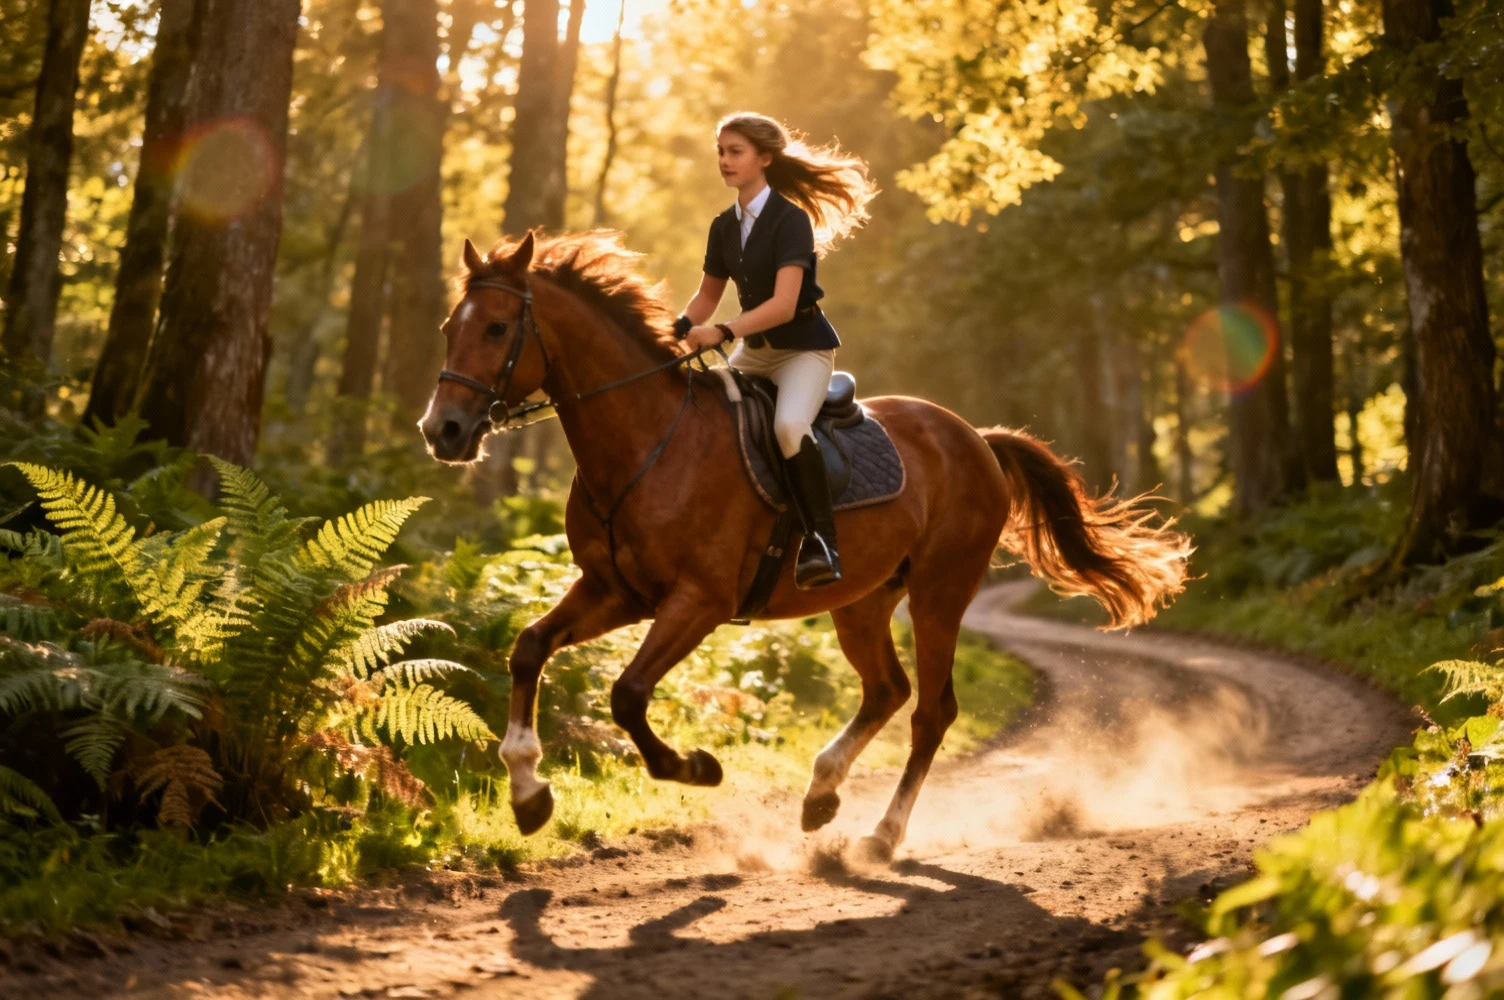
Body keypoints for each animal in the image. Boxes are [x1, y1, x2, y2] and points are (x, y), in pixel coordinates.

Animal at [419, 230, 1192, 861]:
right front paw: (528, 793)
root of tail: (974, 436)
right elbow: (528, 649)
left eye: (497, 327)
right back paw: (822, 797)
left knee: (930, 710)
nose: (443, 431)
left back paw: (880, 837)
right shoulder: (614, 591)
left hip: (941, 591)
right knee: (887, 690)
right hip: (863, 600)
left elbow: (629, 694)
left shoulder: (698, 601)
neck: (645, 443)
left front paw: (697, 767)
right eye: (448, 329)